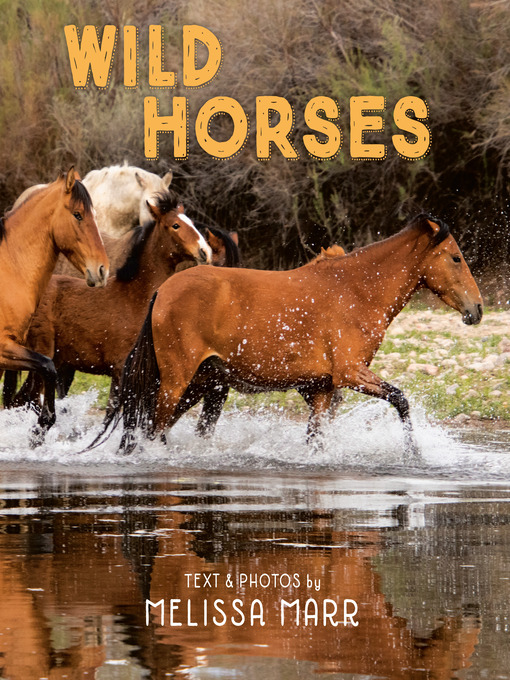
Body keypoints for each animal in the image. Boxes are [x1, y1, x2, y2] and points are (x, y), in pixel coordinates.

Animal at [7, 194, 213, 442]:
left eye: (190, 221)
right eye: (175, 225)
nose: (205, 251)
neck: (135, 297)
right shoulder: (120, 369)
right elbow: (113, 414)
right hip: (43, 359)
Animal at [102, 214, 482, 457]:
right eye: (455, 258)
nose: (476, 309)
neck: (357, 291)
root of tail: (162, 292)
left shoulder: (321, 388)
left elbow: (316, 439)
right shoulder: (350, 373)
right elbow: (401, 400)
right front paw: (413, 452)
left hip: (201, 382)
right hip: (176, 382)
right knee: (153, 430)